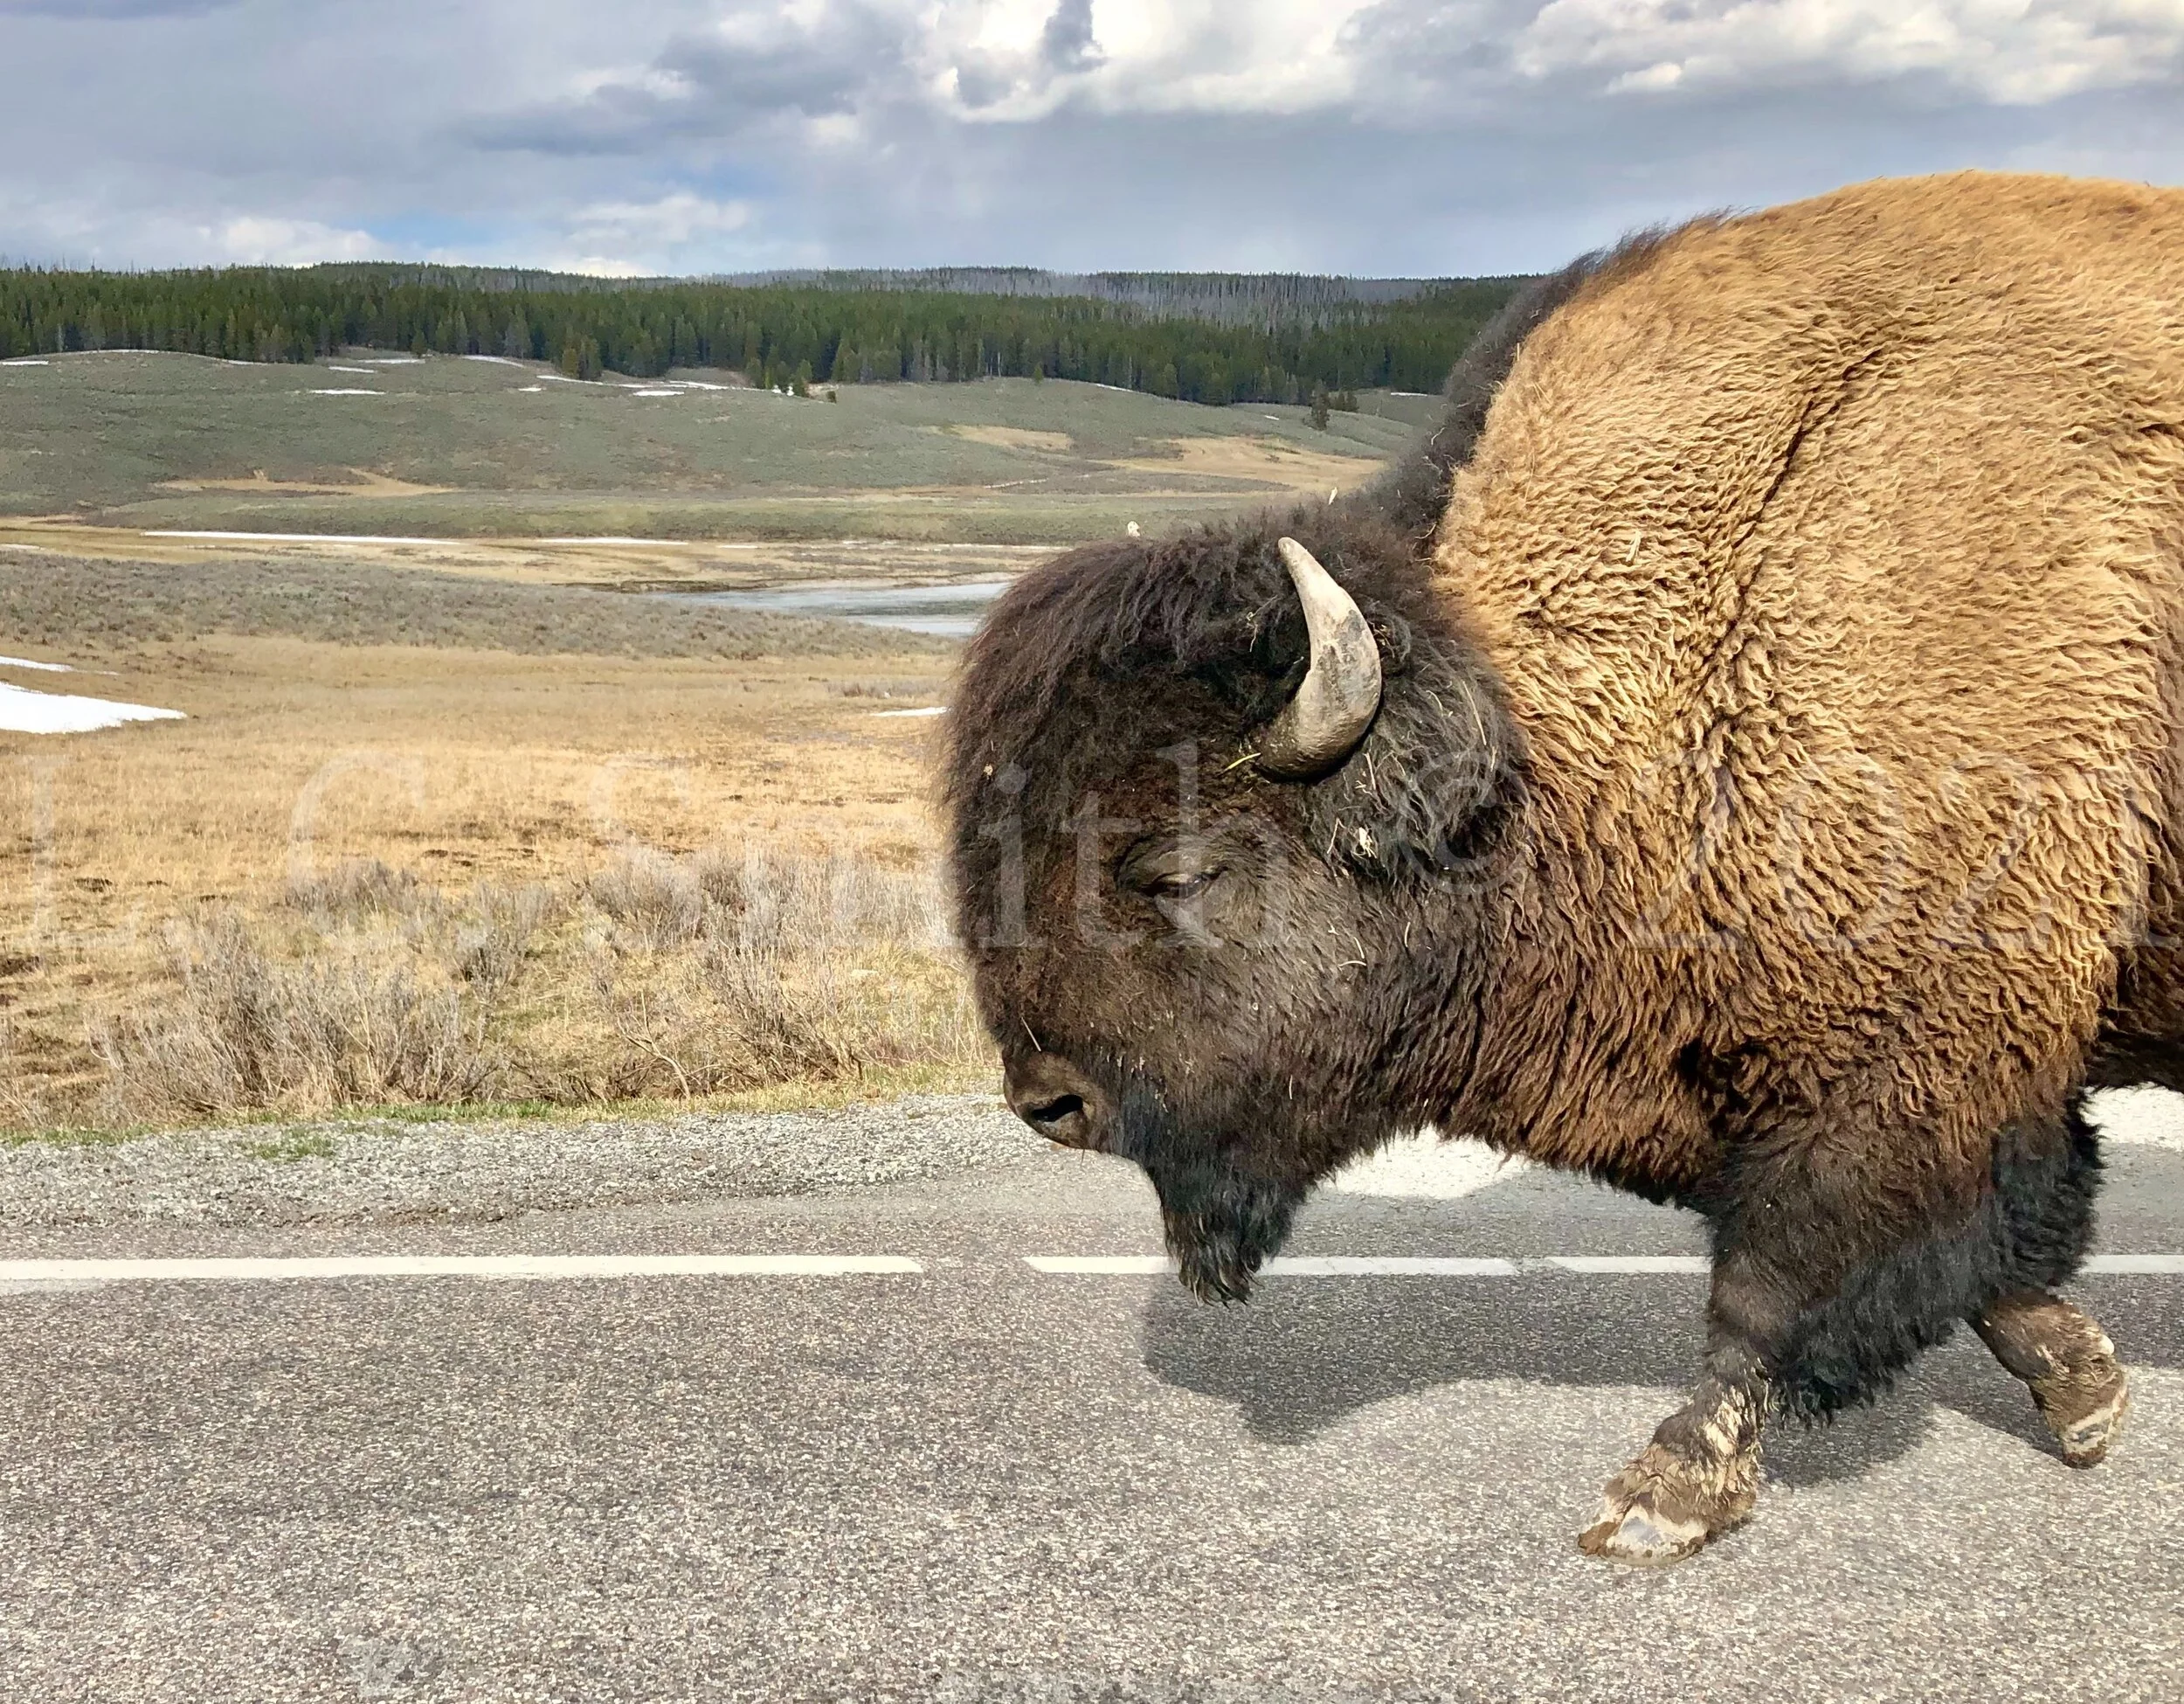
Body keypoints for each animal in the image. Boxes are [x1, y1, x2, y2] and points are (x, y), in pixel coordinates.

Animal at [943, 173, 2177, 1563]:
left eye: (1177, 869)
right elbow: (1986, 1268)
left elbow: (1783, 1279)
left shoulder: (1901, 1059)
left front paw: (1659, 1498)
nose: (1052, 1102)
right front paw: (2088, 1397)